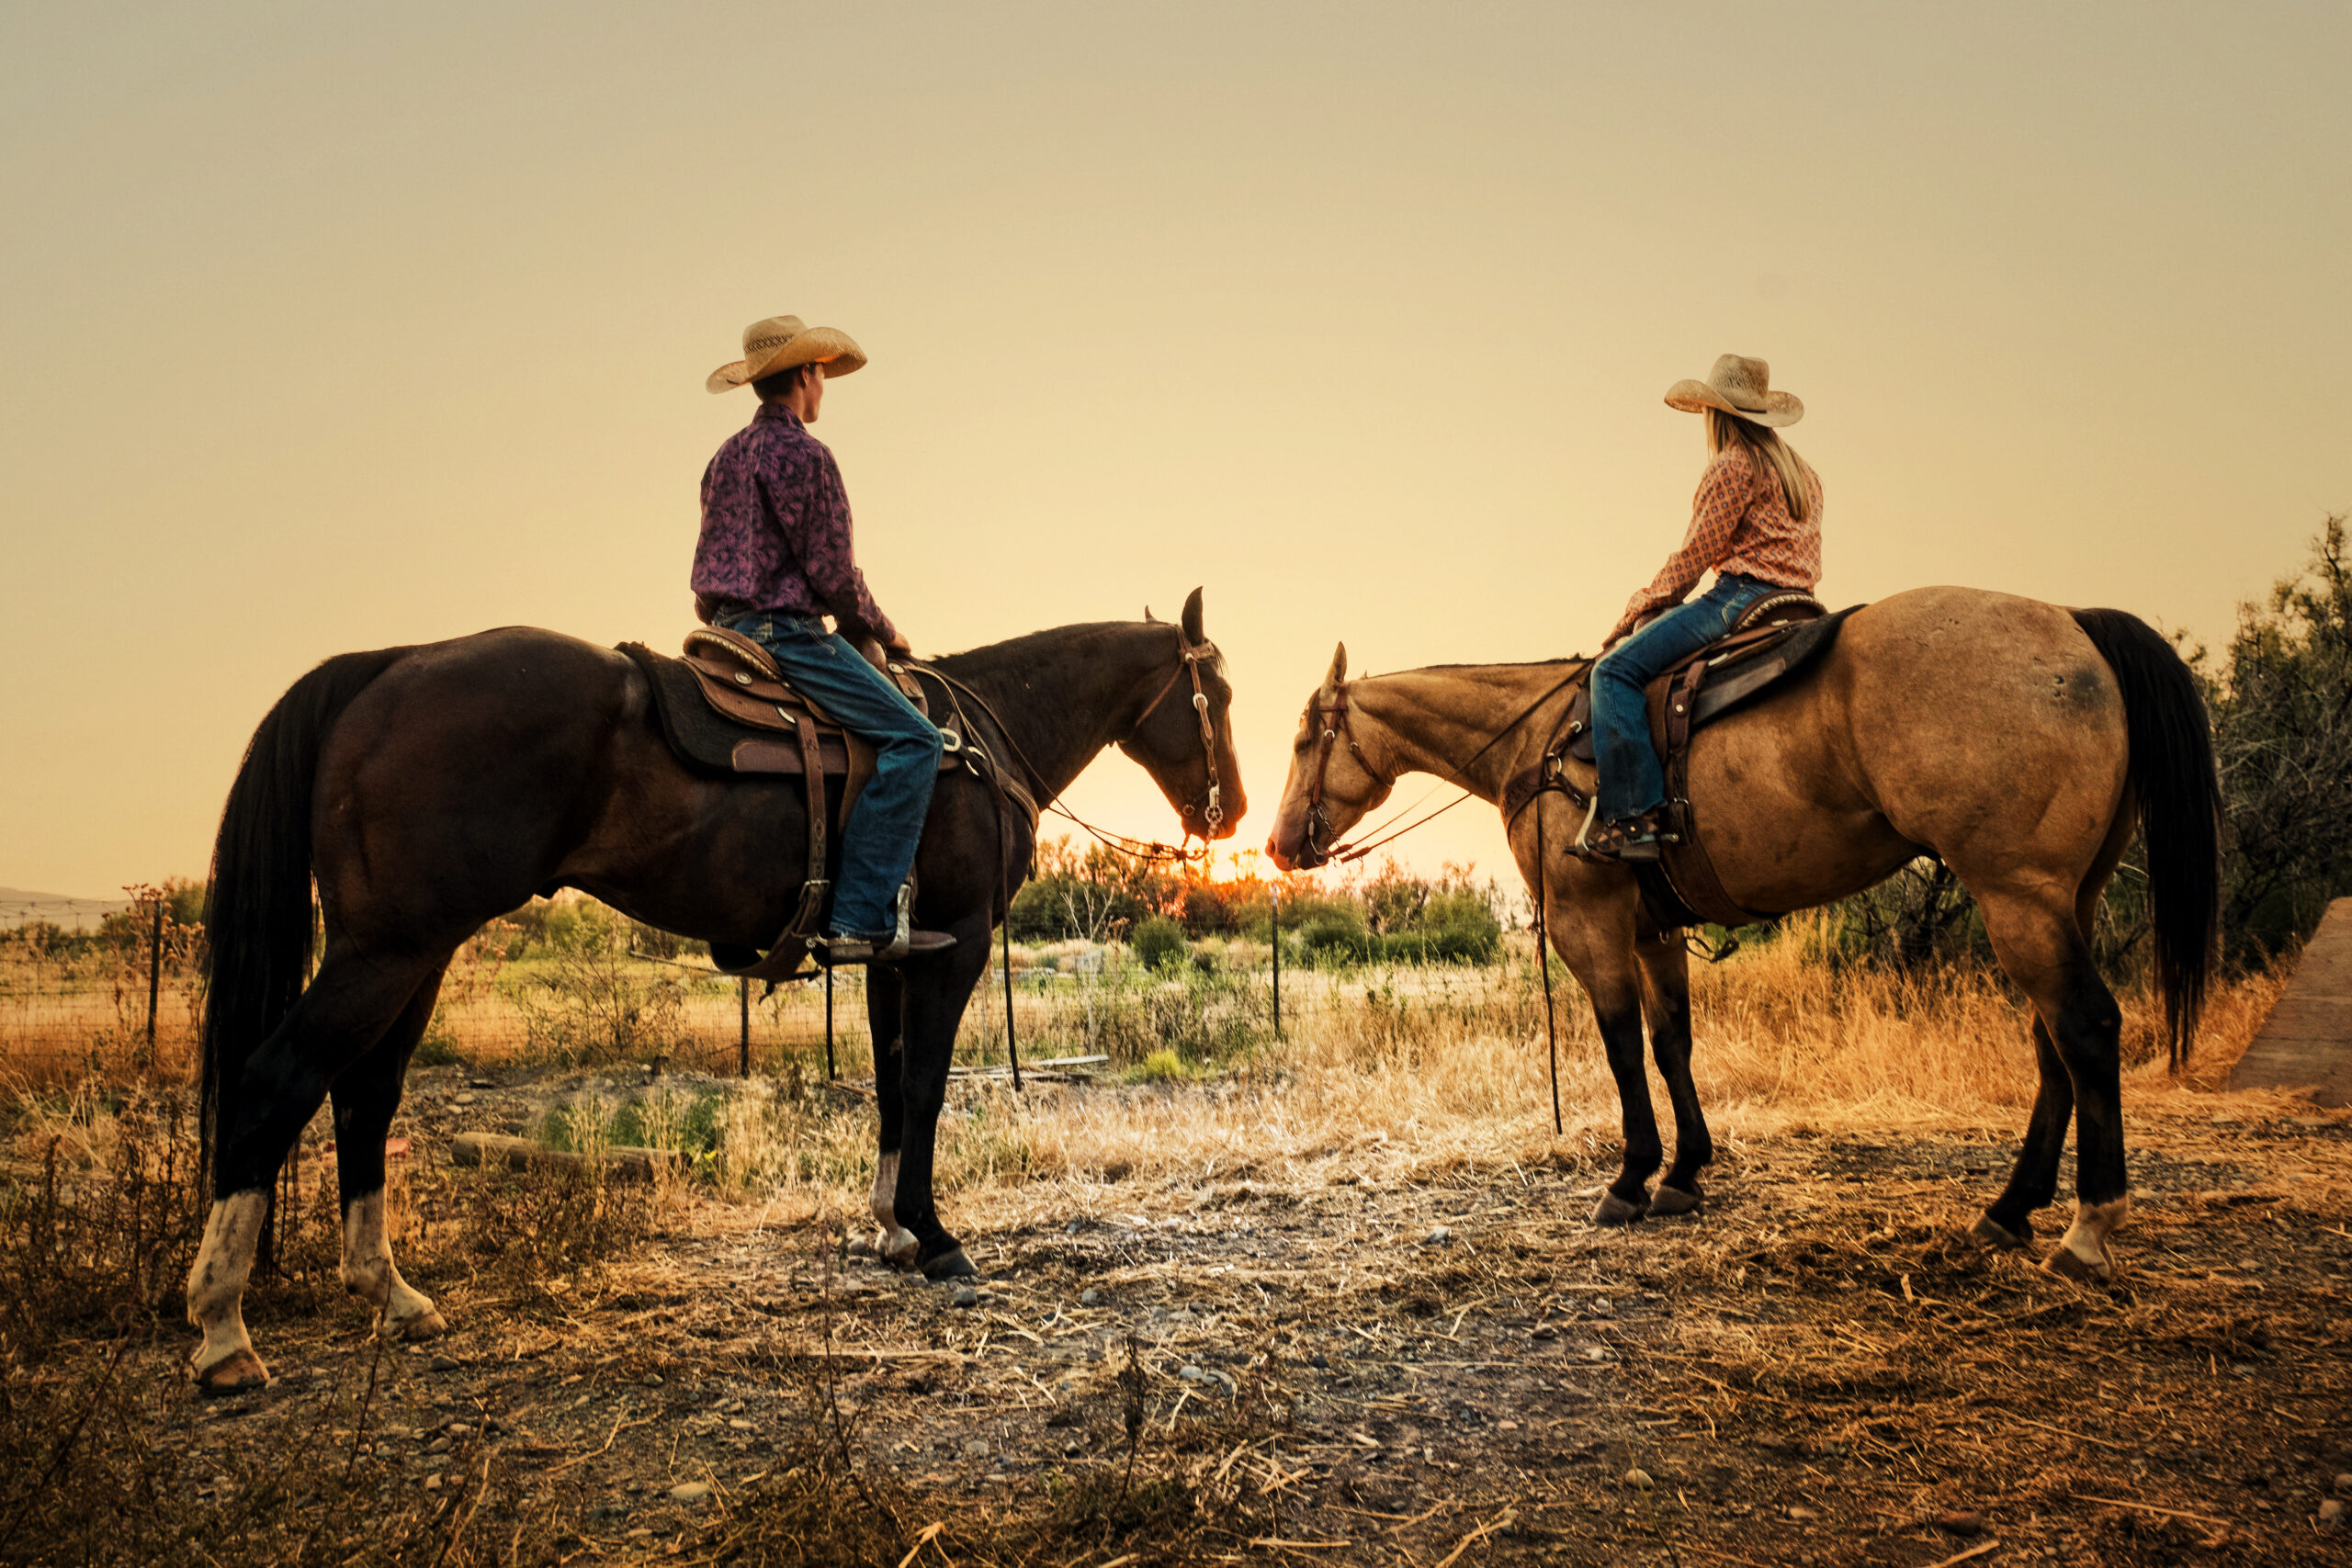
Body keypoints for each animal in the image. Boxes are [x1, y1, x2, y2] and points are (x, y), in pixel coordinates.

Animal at [192, 592, 1241, 1401]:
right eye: (1220, 695)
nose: (1228, 811)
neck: (978, 739)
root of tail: (391, 665)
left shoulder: (895, 954)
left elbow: (890, 1088)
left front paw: (889, 1228)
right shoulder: (956, 948)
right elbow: (927, 1091)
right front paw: (936, 1238)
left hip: (415, 952)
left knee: (365, 1096)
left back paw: (390, 1293)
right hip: (388, 949)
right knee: (279, 1078)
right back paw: (223, 1333)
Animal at [1270, 587, 2201, 1288]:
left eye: (1304, 737)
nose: (1279, 845)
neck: (1539, 744)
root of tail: (2073, 623)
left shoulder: (1590, 923)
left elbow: (1621, 1046)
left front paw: (1631, 1177)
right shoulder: (1654, 930)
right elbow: (1672, 1043)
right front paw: (1686, 1171)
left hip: (2017, 895)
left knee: (2085, 1028)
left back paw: (2087, 1229)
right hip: (2062, 898)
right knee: (2055, 1044)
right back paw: (2010, 1209)